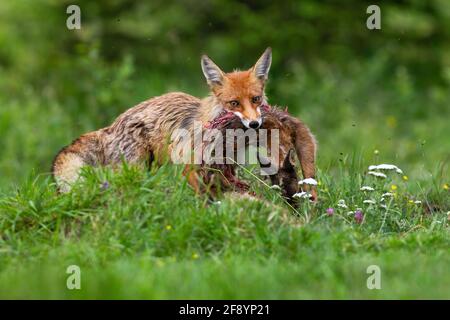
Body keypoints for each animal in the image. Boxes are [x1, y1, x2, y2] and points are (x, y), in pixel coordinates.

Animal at [51, 47, 316, 199]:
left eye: (255, 99)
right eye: (233, 103)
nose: (254, 125)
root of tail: (111, 126)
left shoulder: (226, 164)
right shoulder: (190, 163)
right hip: (136, 167)